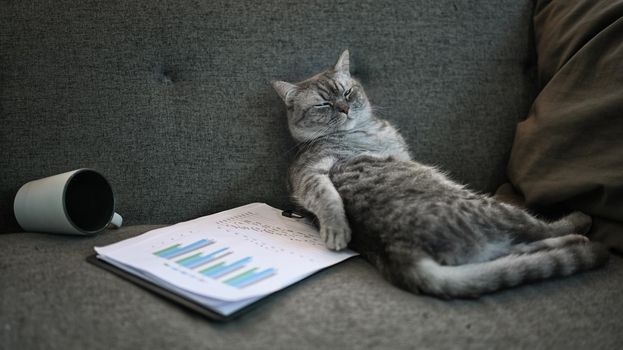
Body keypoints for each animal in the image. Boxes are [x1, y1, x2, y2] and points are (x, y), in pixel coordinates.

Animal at [272, 50, 608, 300]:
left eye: (348, 91)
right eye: (324, 103)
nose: (344, 108)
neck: (366, 129)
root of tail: (402, 252)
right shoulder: (309, 172)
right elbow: (326, 196)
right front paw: (337, 229)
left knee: (520, 249)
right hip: (488, 206)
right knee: (538, 229)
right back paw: (579, 230)